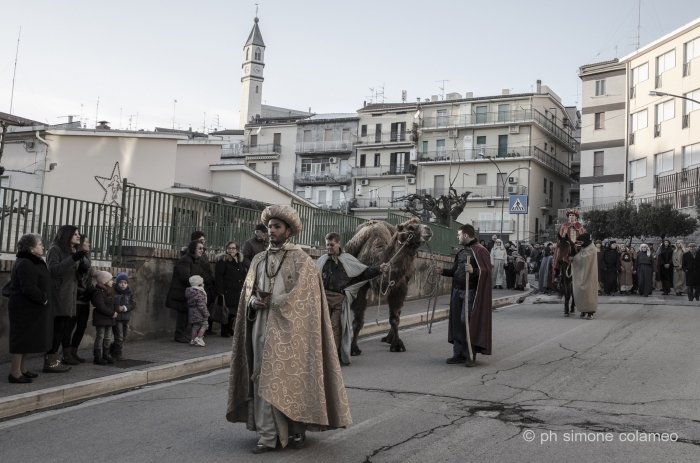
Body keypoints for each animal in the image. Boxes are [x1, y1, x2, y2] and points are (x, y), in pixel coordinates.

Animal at [344, 218, 432, 356]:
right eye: (410, 228)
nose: (428, 229)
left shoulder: (399, 286)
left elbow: (395, 318)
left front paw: (397, 345)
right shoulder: (360, 284)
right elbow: (357, 321)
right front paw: (353, 349)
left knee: (397, 312)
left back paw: (389, 338)